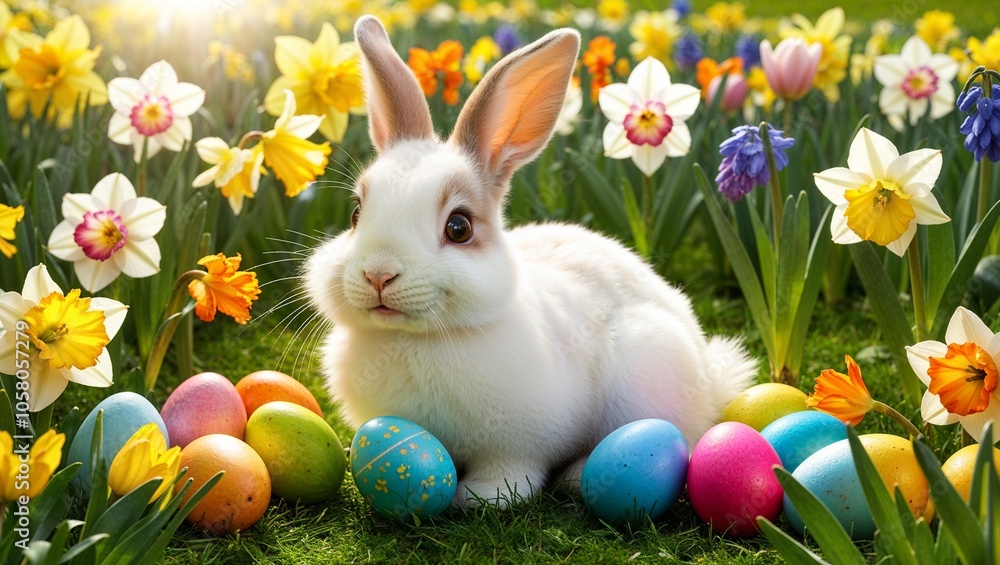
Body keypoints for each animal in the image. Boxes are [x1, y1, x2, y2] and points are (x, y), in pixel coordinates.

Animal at [304, 15, 759, 509]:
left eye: (459, 227)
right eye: (356, 213)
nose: (378, 274)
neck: (416, 338)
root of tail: (708, 377)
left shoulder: (516, 446)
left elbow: (510, 471)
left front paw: (483, 499)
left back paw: (579, 476)